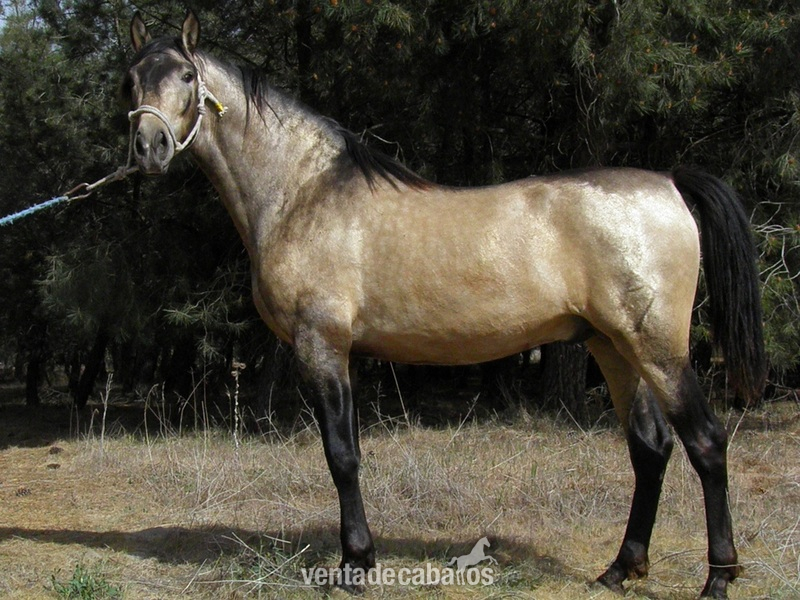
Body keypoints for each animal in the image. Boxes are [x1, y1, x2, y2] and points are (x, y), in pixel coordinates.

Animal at [122, 11, 765, 598]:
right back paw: (620, 568)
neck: (304, 193)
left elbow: (342, 455)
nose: (150, 147)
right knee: (651, 448)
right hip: (613, 347)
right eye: (132, 78)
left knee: (706, 443)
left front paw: (356, 565)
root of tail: (669, 183)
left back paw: (718, 577)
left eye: (186, 75)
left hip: (656, 348)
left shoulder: (322, 345)